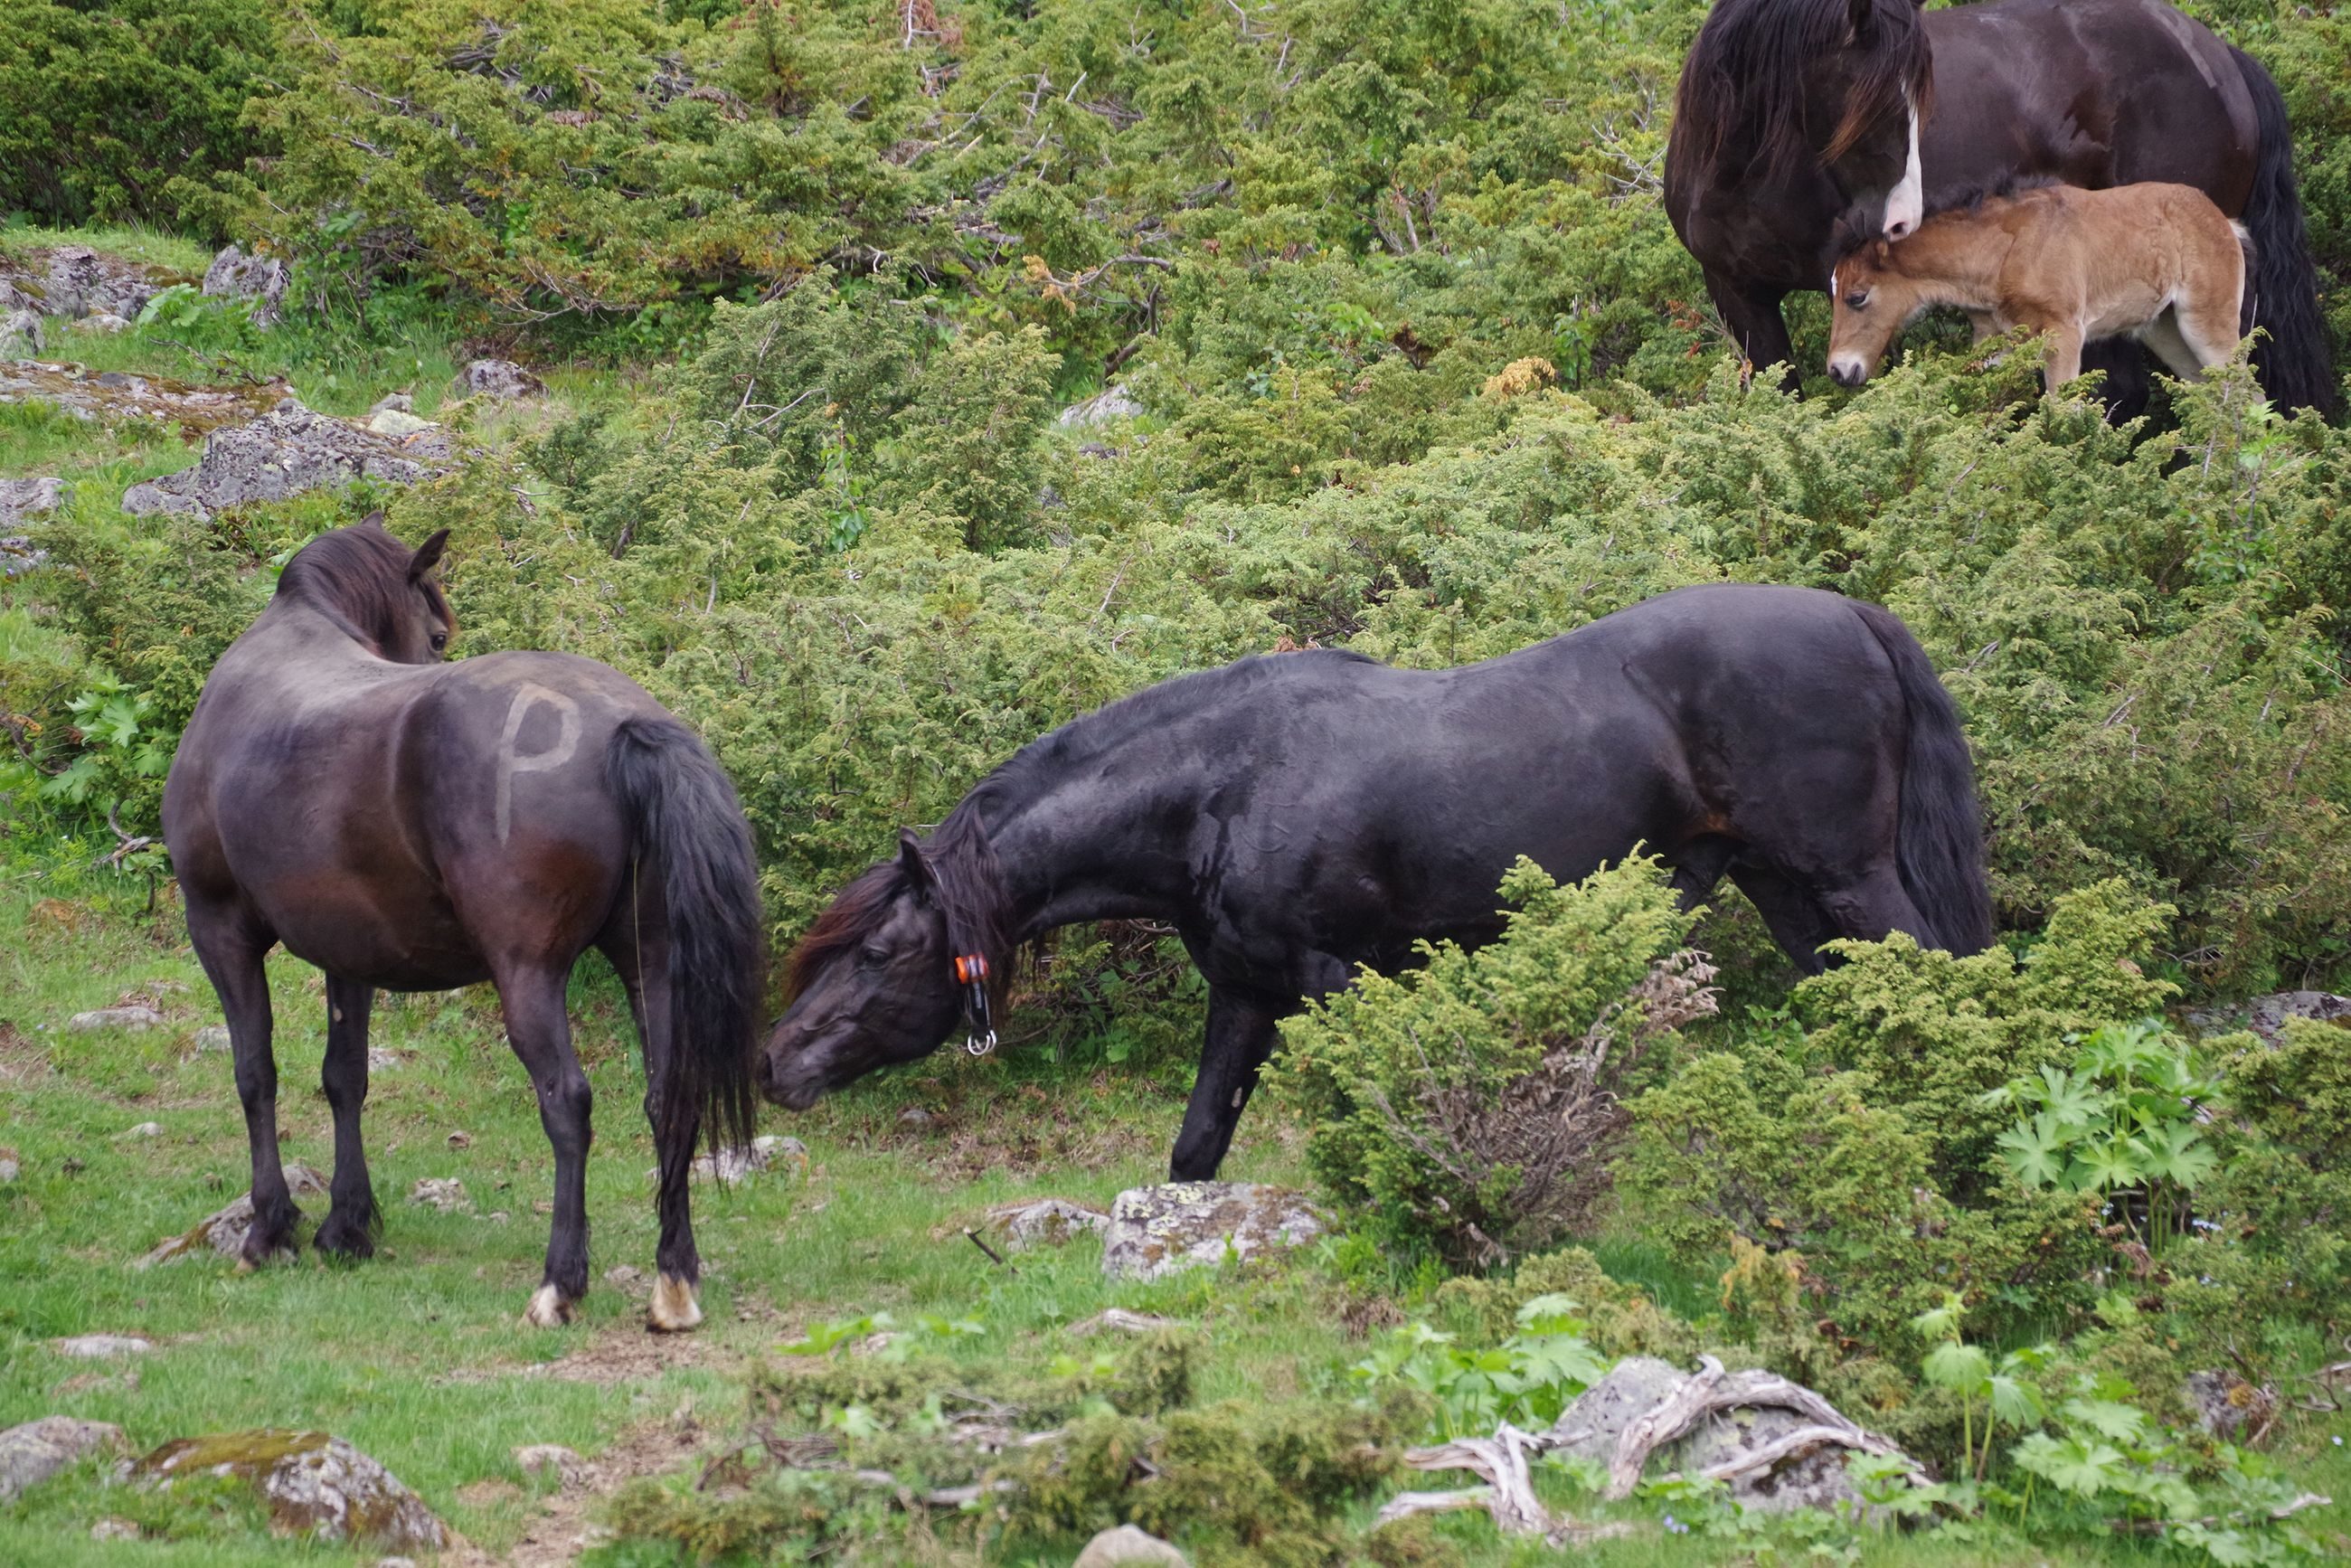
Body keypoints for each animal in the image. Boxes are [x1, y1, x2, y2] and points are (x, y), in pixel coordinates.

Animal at [163, 522, 761, 1335]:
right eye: (438, 632)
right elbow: (344, 1078)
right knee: (670, 1099)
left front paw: (270, 1228)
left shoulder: (220, 929)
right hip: (653, 967)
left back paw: (560, 1282)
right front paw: (347, 1226)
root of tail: (624, 725)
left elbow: (256, 1074)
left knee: (568, 1102)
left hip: (528, 976)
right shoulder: (347, 952)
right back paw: (673, 1282)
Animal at [1664, 0, 2341, 422]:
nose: (1901, 220)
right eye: (1874, 99)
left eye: (1922, 99)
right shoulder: (1740, 294)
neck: (1751, 167)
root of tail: (2219, 52)